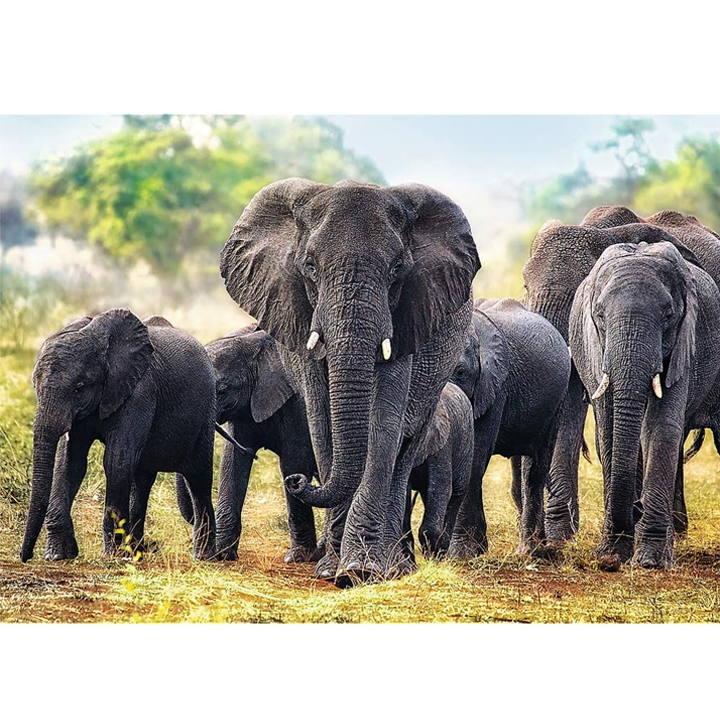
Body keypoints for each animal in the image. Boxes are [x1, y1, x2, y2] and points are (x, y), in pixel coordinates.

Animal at [20, 311, 217, 562]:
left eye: (79, 388)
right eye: (35, 385)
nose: (25, 556)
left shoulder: (140, 392)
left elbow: (116, 461)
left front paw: (111, 556)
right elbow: (70, 463)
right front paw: (58, 555)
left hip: (206, 413)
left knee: (198, 477)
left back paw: (204, 556)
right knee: (142, 479)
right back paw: (137, 551)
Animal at [175, 324, 322, 563]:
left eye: (221, 390)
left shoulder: (299, 406)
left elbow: (294, 462)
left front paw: (298, 557)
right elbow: (233, 461)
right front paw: (223, 554)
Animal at [447, 298, 571, 557]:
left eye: (461, 372)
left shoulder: (495, 387)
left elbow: (474, 458)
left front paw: (462, 555)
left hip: (556, 403)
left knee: (534, 472)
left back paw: (530, 551)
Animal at [569, 242, 720, 570]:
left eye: (668, 315)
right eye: (600, 316)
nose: (636, 508)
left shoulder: (684, 345)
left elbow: (659, 429)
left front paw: (650, 561)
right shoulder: (594, 350)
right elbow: (609, 431)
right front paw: (611, 555)